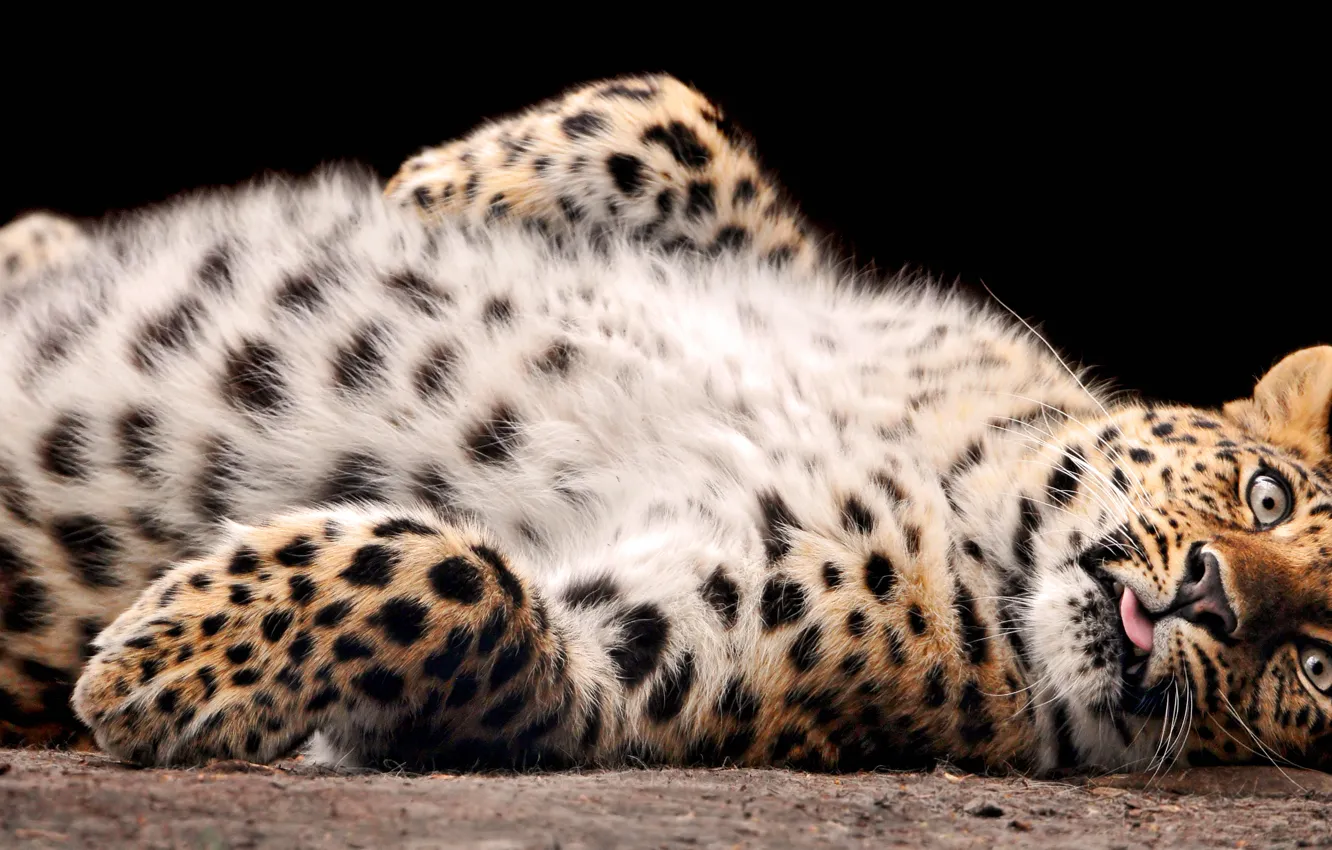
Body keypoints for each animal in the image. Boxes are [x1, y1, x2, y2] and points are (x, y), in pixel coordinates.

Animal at [2, 73, 1331, 778]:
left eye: (1317, 666)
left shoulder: (643, 668)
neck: (963, 493)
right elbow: (677, 118)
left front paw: (169, 660)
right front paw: (439, 189)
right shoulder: (809, 281)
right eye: (1264, 496)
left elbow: (467, 587)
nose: (1215, 594)